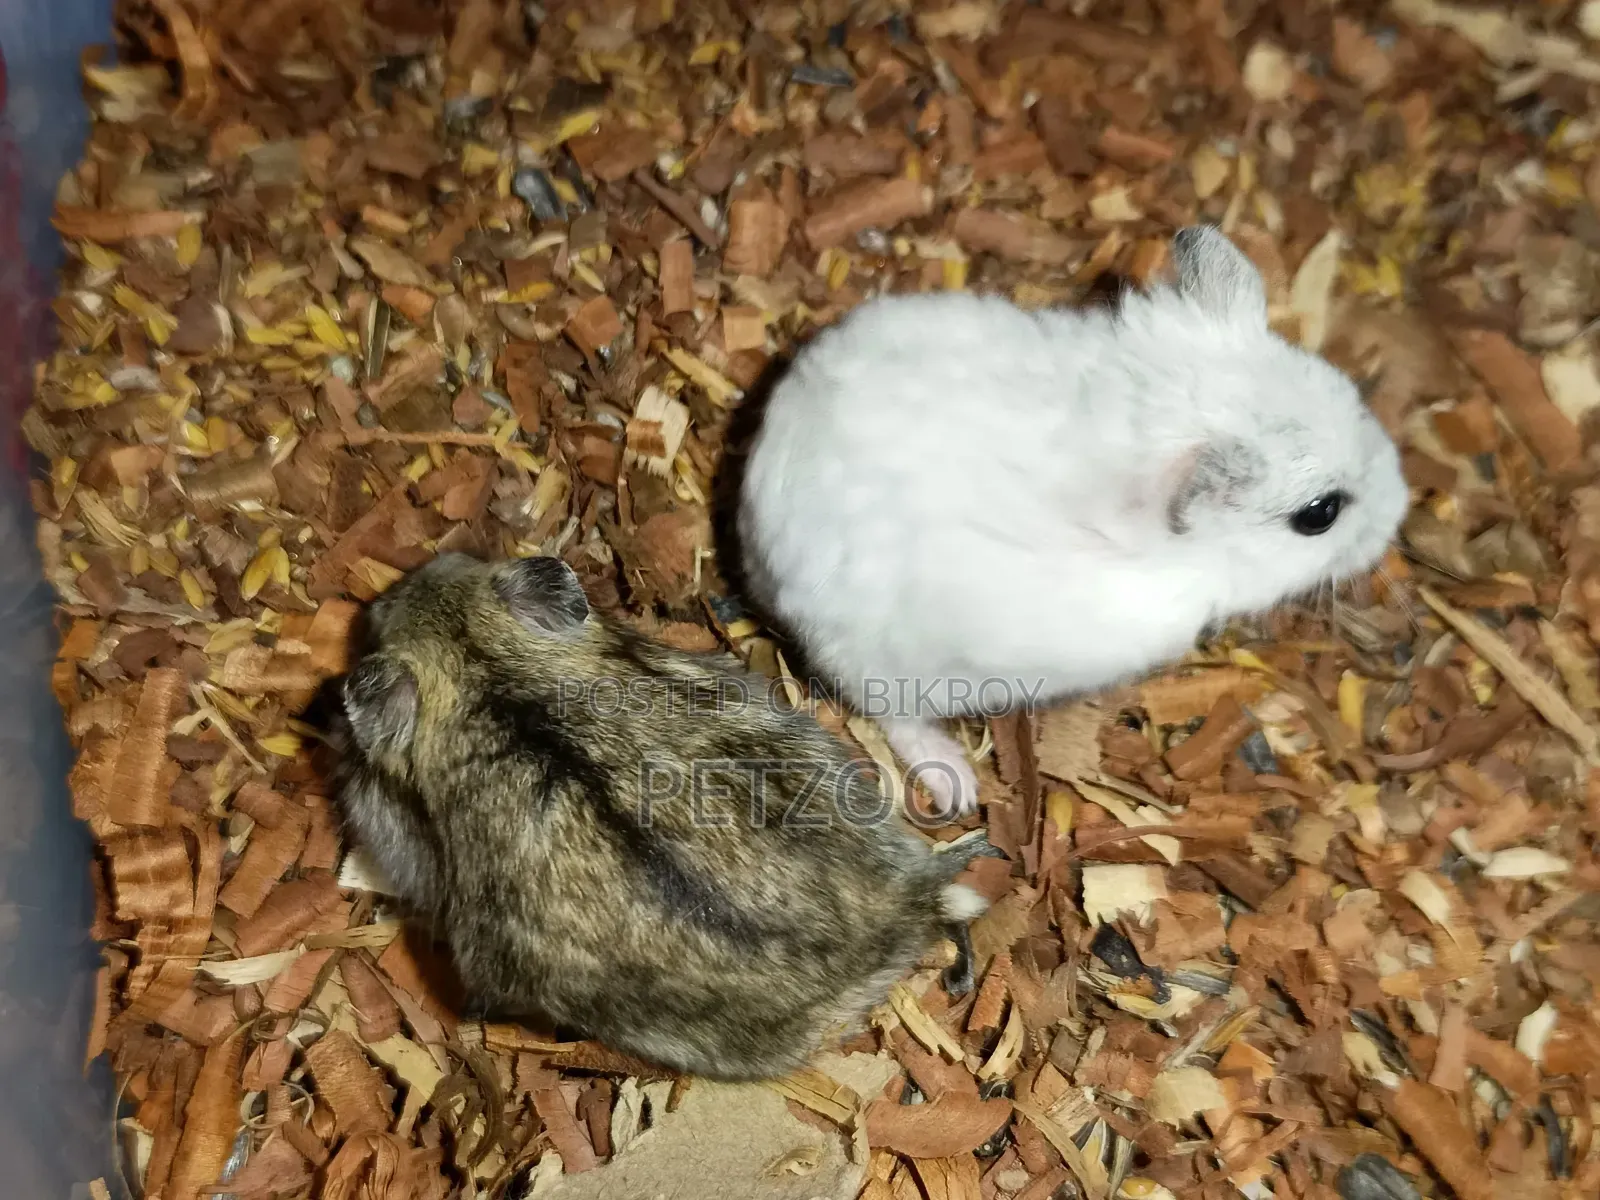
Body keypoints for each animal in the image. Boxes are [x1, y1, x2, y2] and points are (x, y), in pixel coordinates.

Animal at [738, 226, 1409, 817]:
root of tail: (754, 533)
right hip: (891, 665)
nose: (1402, 506)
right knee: (893, 717)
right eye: (1320, 514)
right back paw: (959, 786)